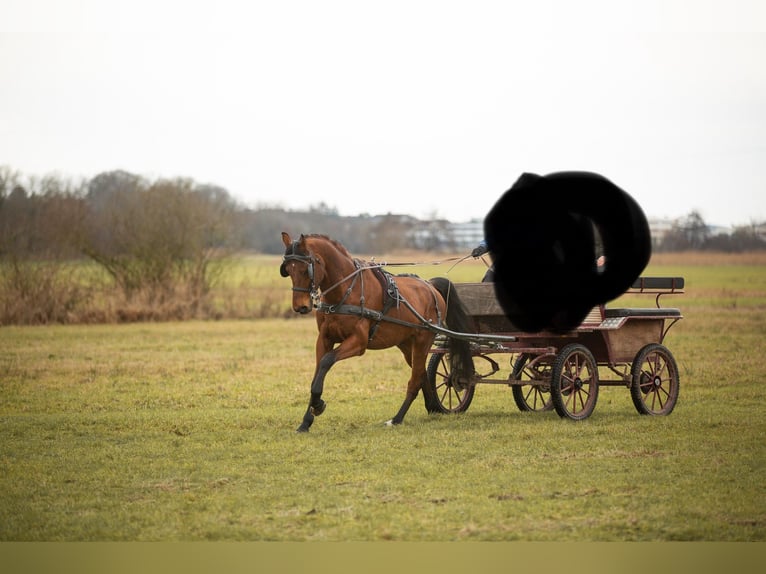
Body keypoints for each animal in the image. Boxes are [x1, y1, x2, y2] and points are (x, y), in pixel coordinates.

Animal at [282, 233, 474, 432]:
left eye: (306, 270)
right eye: (287, 269)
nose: (300, 307)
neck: (346, 291)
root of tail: (430, 286)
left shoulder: (358, 342)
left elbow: (327, 361)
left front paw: (318, 405)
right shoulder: (324, 339)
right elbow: (317, 372)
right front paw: (306, 420)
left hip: (423, 341)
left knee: (414, 380)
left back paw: (397, 418)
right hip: (407, 345)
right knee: (420, 373)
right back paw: (433, 407)